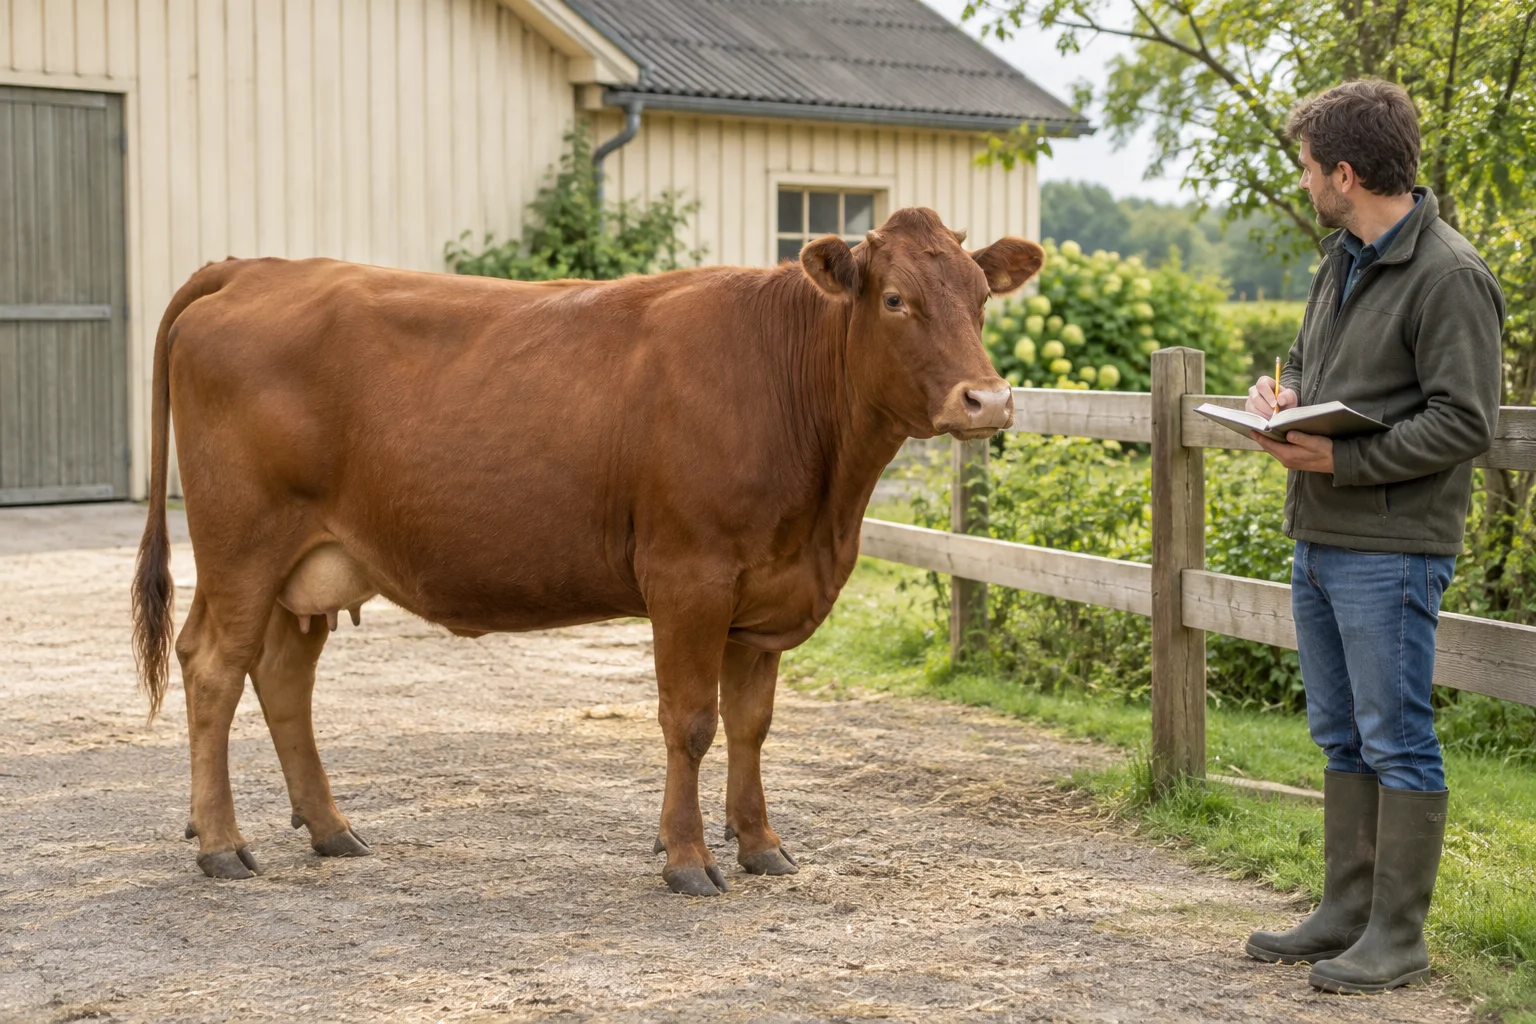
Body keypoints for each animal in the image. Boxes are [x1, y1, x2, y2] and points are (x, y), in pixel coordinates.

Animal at [132, 206, 1043, 895]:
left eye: (979, 298)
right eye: (894, 298)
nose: (989, 399)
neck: (825, 505)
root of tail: (254, 268)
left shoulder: (766, 591)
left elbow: (751, 725)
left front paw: (760, 845)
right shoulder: (688, 576)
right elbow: (691, 722)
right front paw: (688, 859)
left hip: (308, 562)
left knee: (283, 675)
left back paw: (330, 829)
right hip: (241, 546)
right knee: (214, 668)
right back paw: (222, 844)